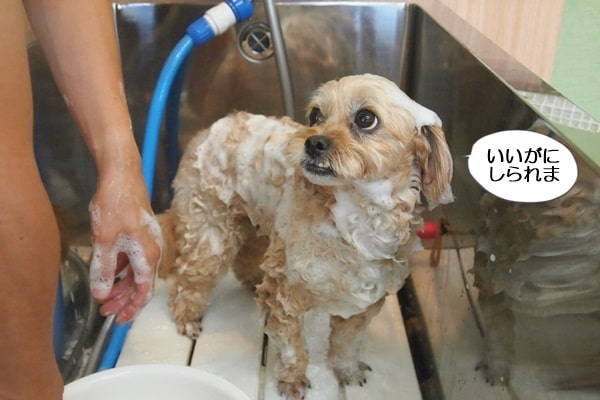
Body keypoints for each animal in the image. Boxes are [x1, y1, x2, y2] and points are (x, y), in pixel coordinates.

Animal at [159, 74, 453, 399]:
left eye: (366, 119)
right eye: (315, 115)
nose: (314, 141)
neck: (356, 223)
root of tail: (209, 129)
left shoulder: (363, 304)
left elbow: (347, 342)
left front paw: (347, 369)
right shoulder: (284, 298)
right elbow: (293, 348)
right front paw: (292, 381)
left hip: (256, 220)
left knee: (245, 255)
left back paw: (253, 280)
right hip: (211, 230)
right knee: (190, 279)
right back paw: (187, 318)